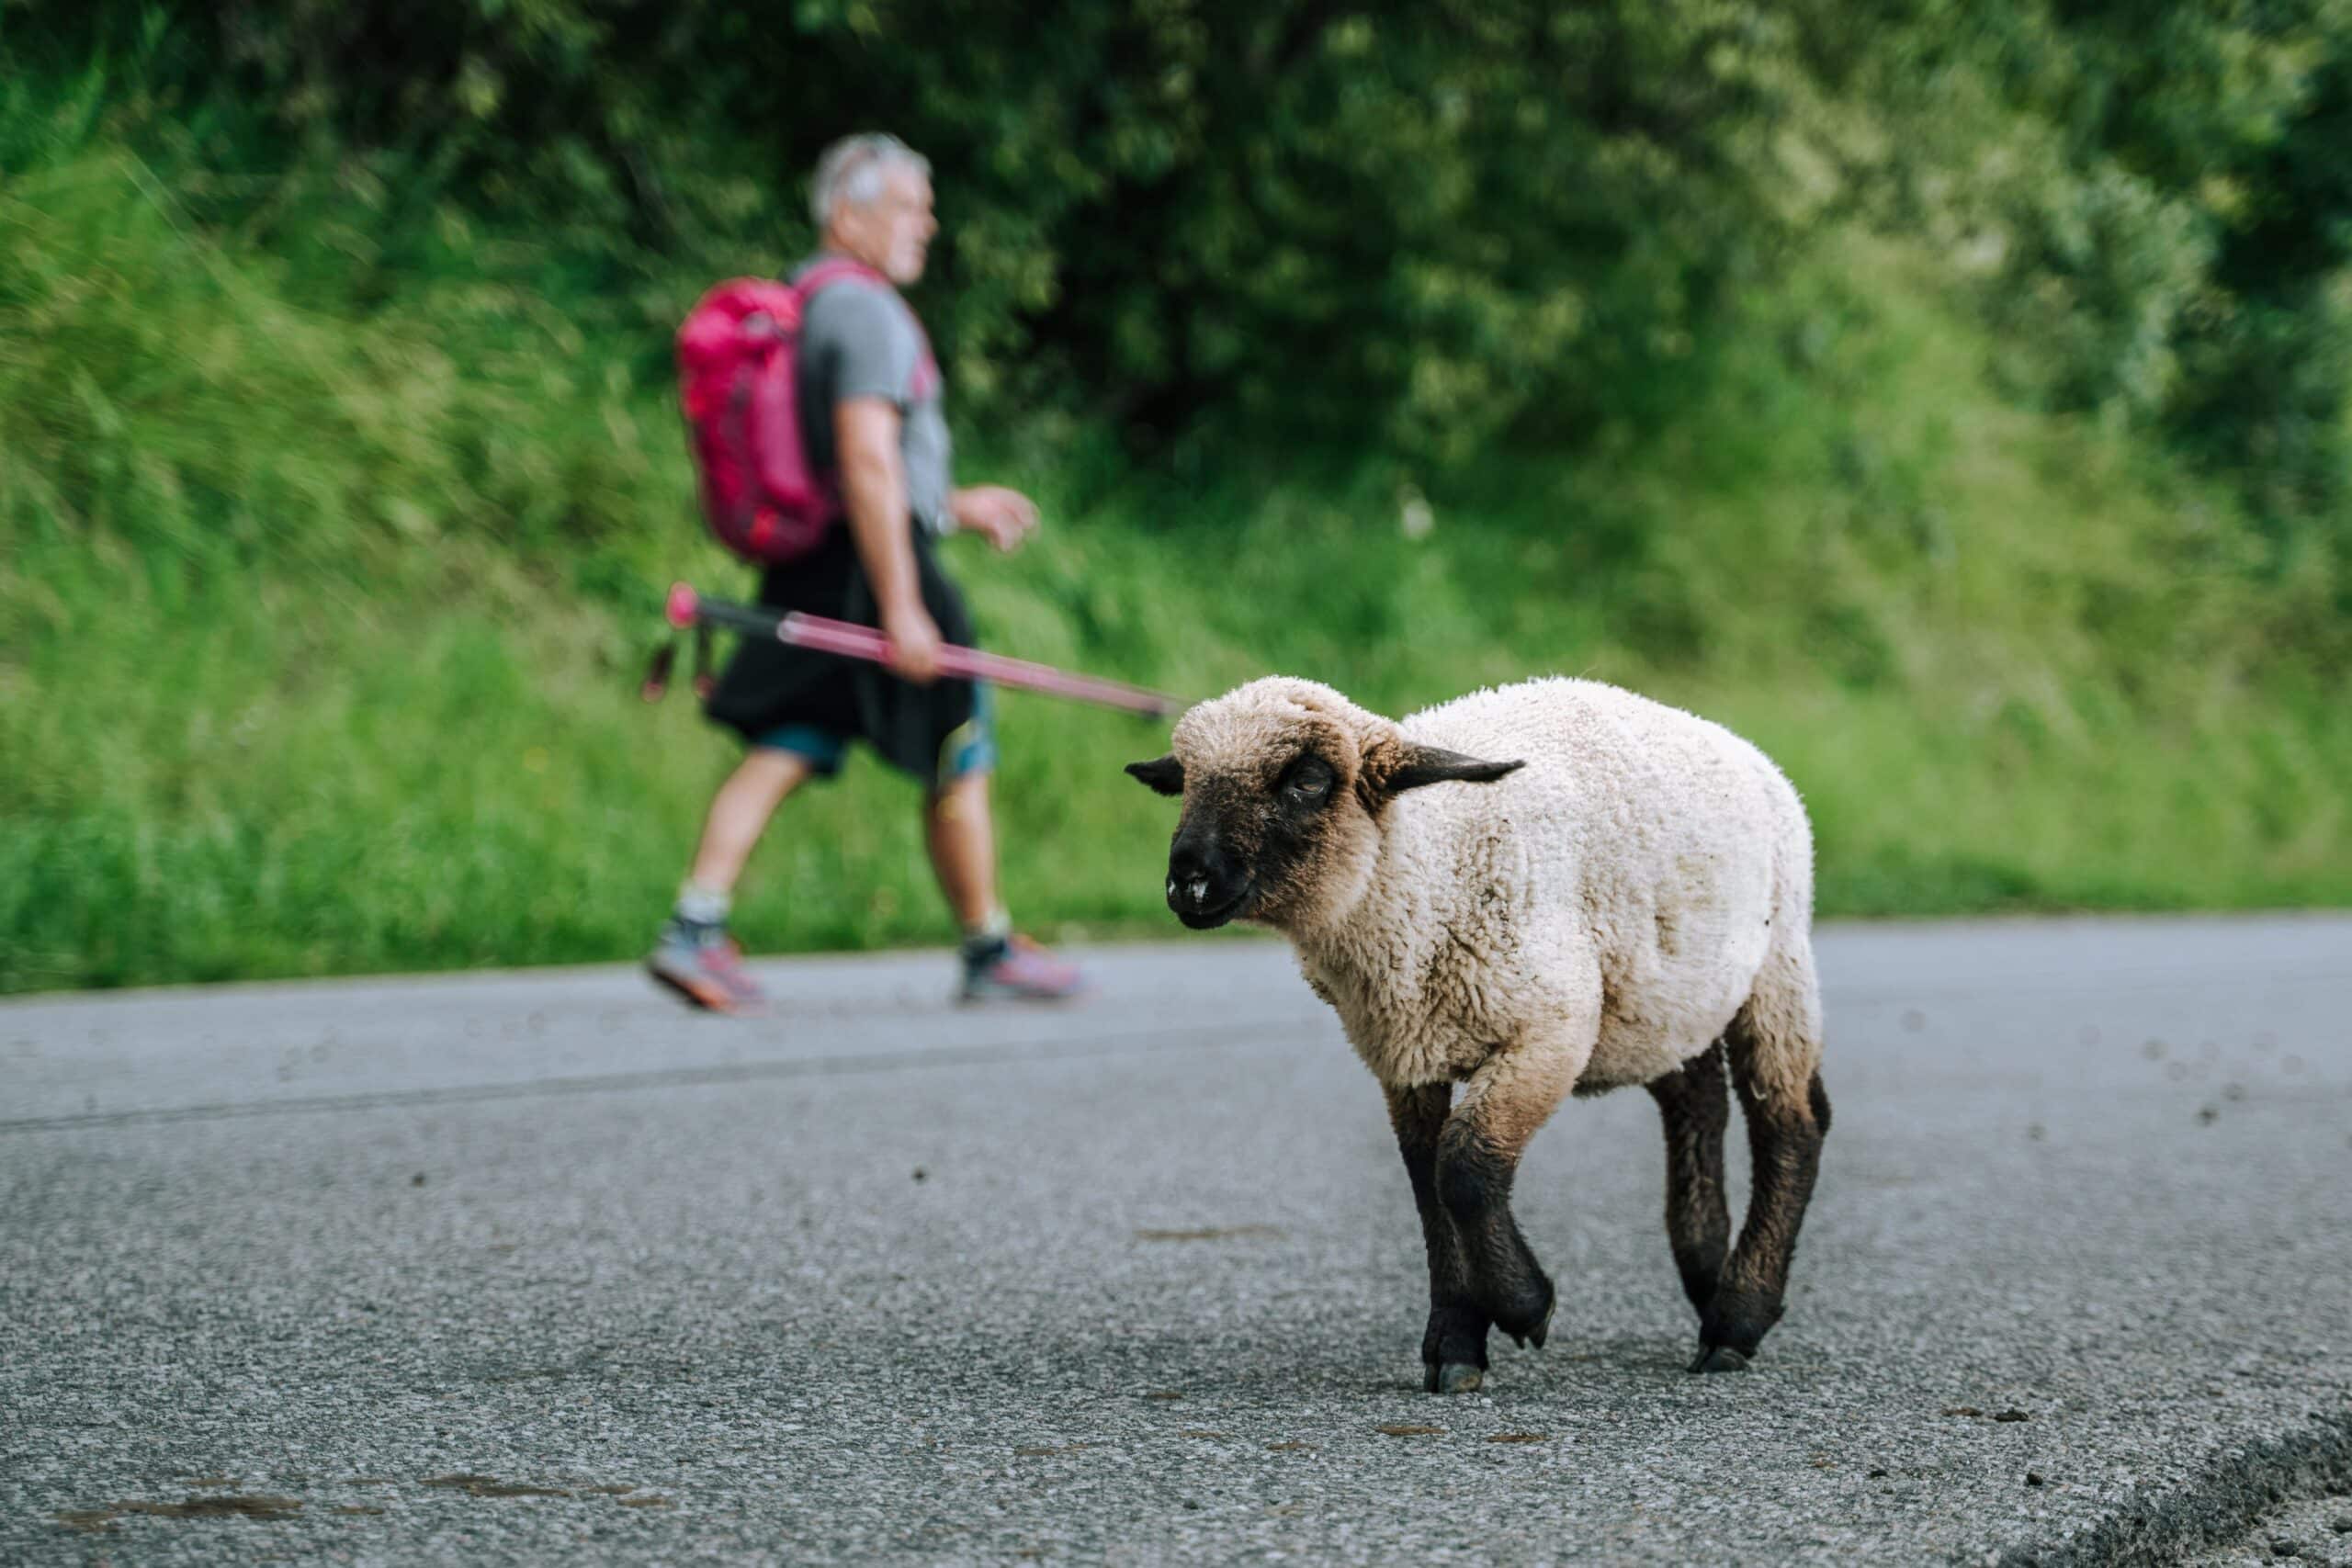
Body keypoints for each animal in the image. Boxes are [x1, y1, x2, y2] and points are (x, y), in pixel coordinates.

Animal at [1128, 682, 1825, 1392]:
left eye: (1309, 780)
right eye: (1186, 781)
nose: (1189, 880)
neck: (1428, 863)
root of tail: (1747, 753)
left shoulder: (1550, 1031)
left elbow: (1462, 1168)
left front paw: (1525, 1306)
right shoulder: (1405, 1053)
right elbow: (1425, 1180)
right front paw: (1457, 1342)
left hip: (1778, 968)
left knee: (1791, 1125)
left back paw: (1736, 1319)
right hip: (1668, 1005)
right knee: (1699, 1105)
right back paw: (1708, 1276)